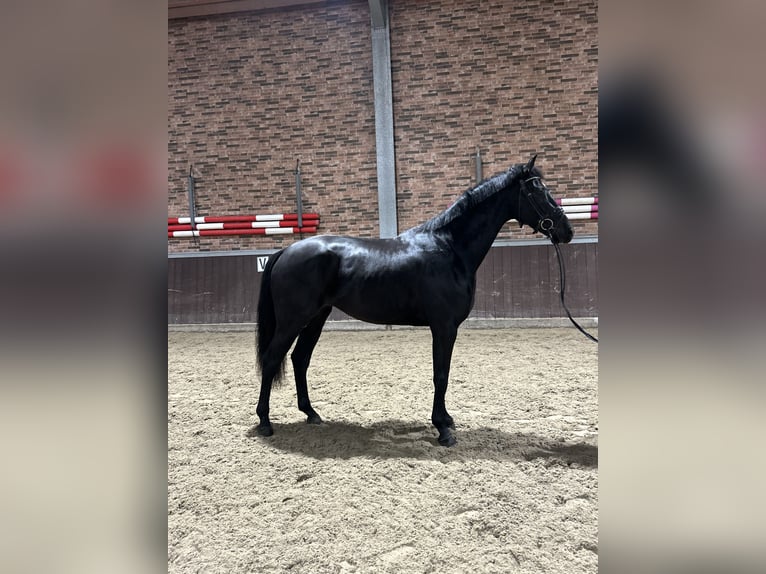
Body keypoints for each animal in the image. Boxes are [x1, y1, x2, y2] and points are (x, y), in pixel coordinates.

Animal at [255, 154, 573, 446]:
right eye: (537, 191)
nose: (566, 231)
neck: (450, 249)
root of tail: (286, 251)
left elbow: (443, 373)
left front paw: (446, 420)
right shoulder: (443, 327)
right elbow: (440, 375)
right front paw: (443, 430)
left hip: (316, 317)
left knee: (300, 358)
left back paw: (311, 414)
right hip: (293, 319)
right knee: (272, 359)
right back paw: (265, 422)